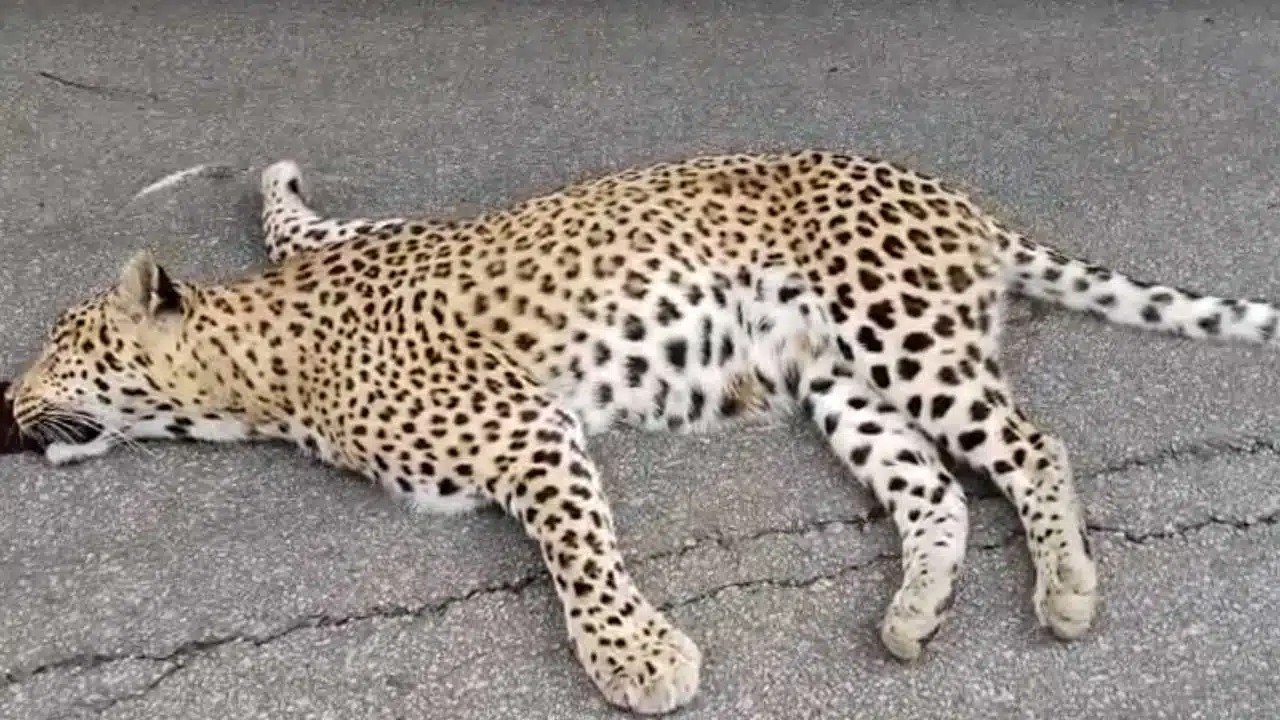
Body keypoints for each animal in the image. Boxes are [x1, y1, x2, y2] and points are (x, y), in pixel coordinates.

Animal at [9, 151, 1278, 714]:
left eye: (63, 346)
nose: (2, 408)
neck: (262, 371)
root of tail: (953, 197)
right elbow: (294, 215)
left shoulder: (527, 430)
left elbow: (577, 552)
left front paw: (634, 657)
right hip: (843, 383)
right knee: (932, 491)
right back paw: (913, 611)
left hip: (899, 331)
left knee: (1030, 447)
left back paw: (1063, 586)